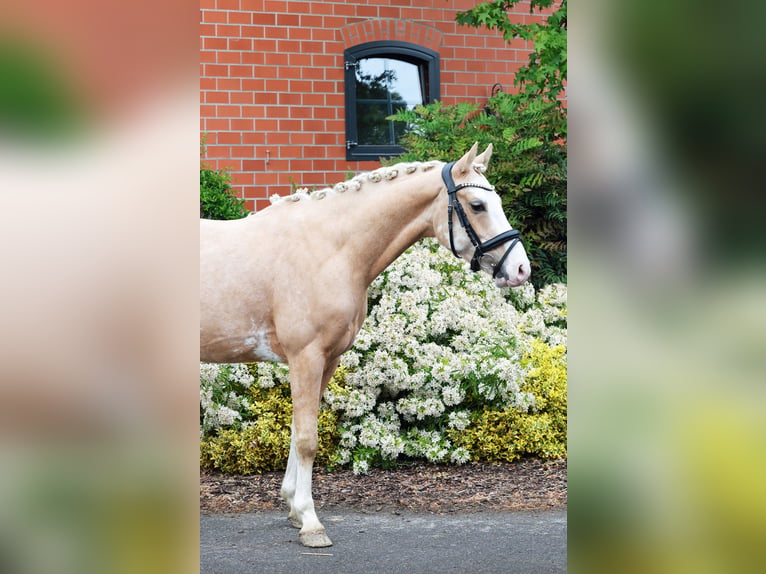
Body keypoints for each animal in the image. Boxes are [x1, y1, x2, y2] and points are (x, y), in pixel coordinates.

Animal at [200, 142, 531, 547]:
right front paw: (311, 523)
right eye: (478, 205)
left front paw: (294, 508)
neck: (330, 249)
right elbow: (307, 439)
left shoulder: (326, 360)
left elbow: (297, 431)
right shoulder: (306, 356)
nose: (521, 269)